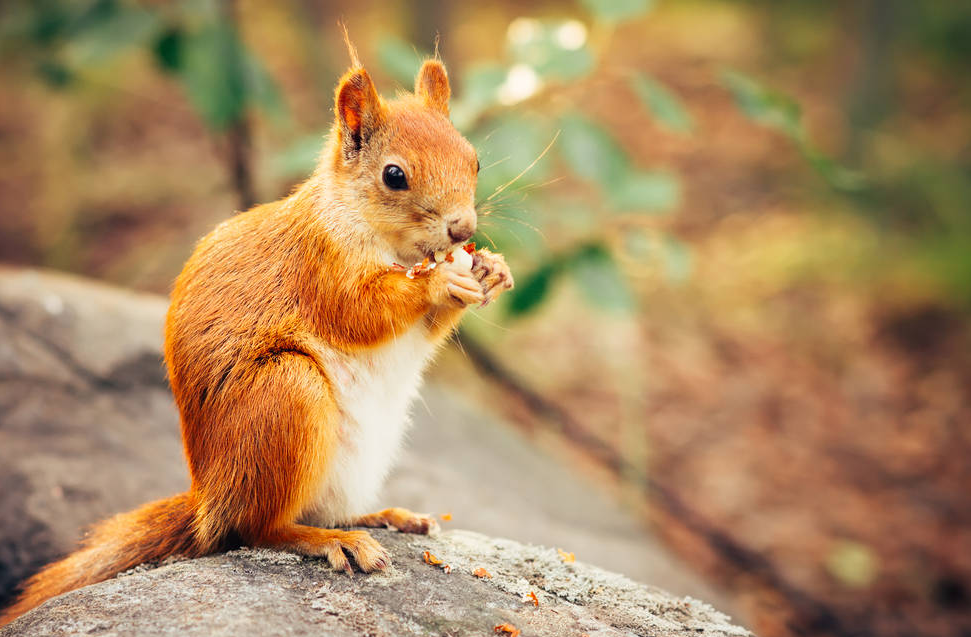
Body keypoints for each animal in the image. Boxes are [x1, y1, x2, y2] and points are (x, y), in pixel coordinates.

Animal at [0, 52, 516, 624]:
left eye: (473, 159)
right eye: (394, 175)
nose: (462, 228)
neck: (388, 245)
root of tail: (211, 502)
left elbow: (426, 331)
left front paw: (492, 270)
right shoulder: (319, 269)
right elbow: (360, 313)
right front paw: (440, 281)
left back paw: (384, 515)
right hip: (285, 394)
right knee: (258, 529)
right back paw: (329, 540)